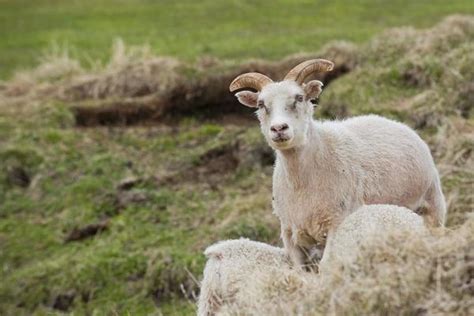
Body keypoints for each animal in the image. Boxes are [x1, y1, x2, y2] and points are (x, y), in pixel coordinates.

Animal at [230, 58, 448, 266]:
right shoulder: (290, 234)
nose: (278, 128)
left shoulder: (338, 223)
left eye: (299, 97)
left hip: (433, 205)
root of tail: (393, 122)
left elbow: (326, 265)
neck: (301, 180)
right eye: (261, 104)